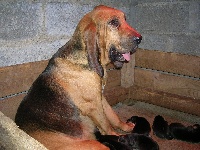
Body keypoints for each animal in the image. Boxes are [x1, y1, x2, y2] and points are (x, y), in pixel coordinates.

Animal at [14, 4, 141, 150]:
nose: (140, 38)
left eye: (125, 19)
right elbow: (107, 125)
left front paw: (126, 127)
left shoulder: (100, 97)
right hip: (95, 145)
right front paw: (117, 136)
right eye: (114, 22)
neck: (85, 60)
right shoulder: (94, 106)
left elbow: (113, 116)